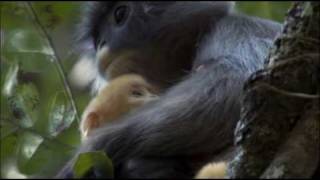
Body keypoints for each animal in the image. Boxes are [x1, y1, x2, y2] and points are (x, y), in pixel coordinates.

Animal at [57, 1, 280, 179]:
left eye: (119, 14)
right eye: (97, 39)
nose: (102, 43)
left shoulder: (238, 27)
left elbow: (234, 83)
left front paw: (87, 153)